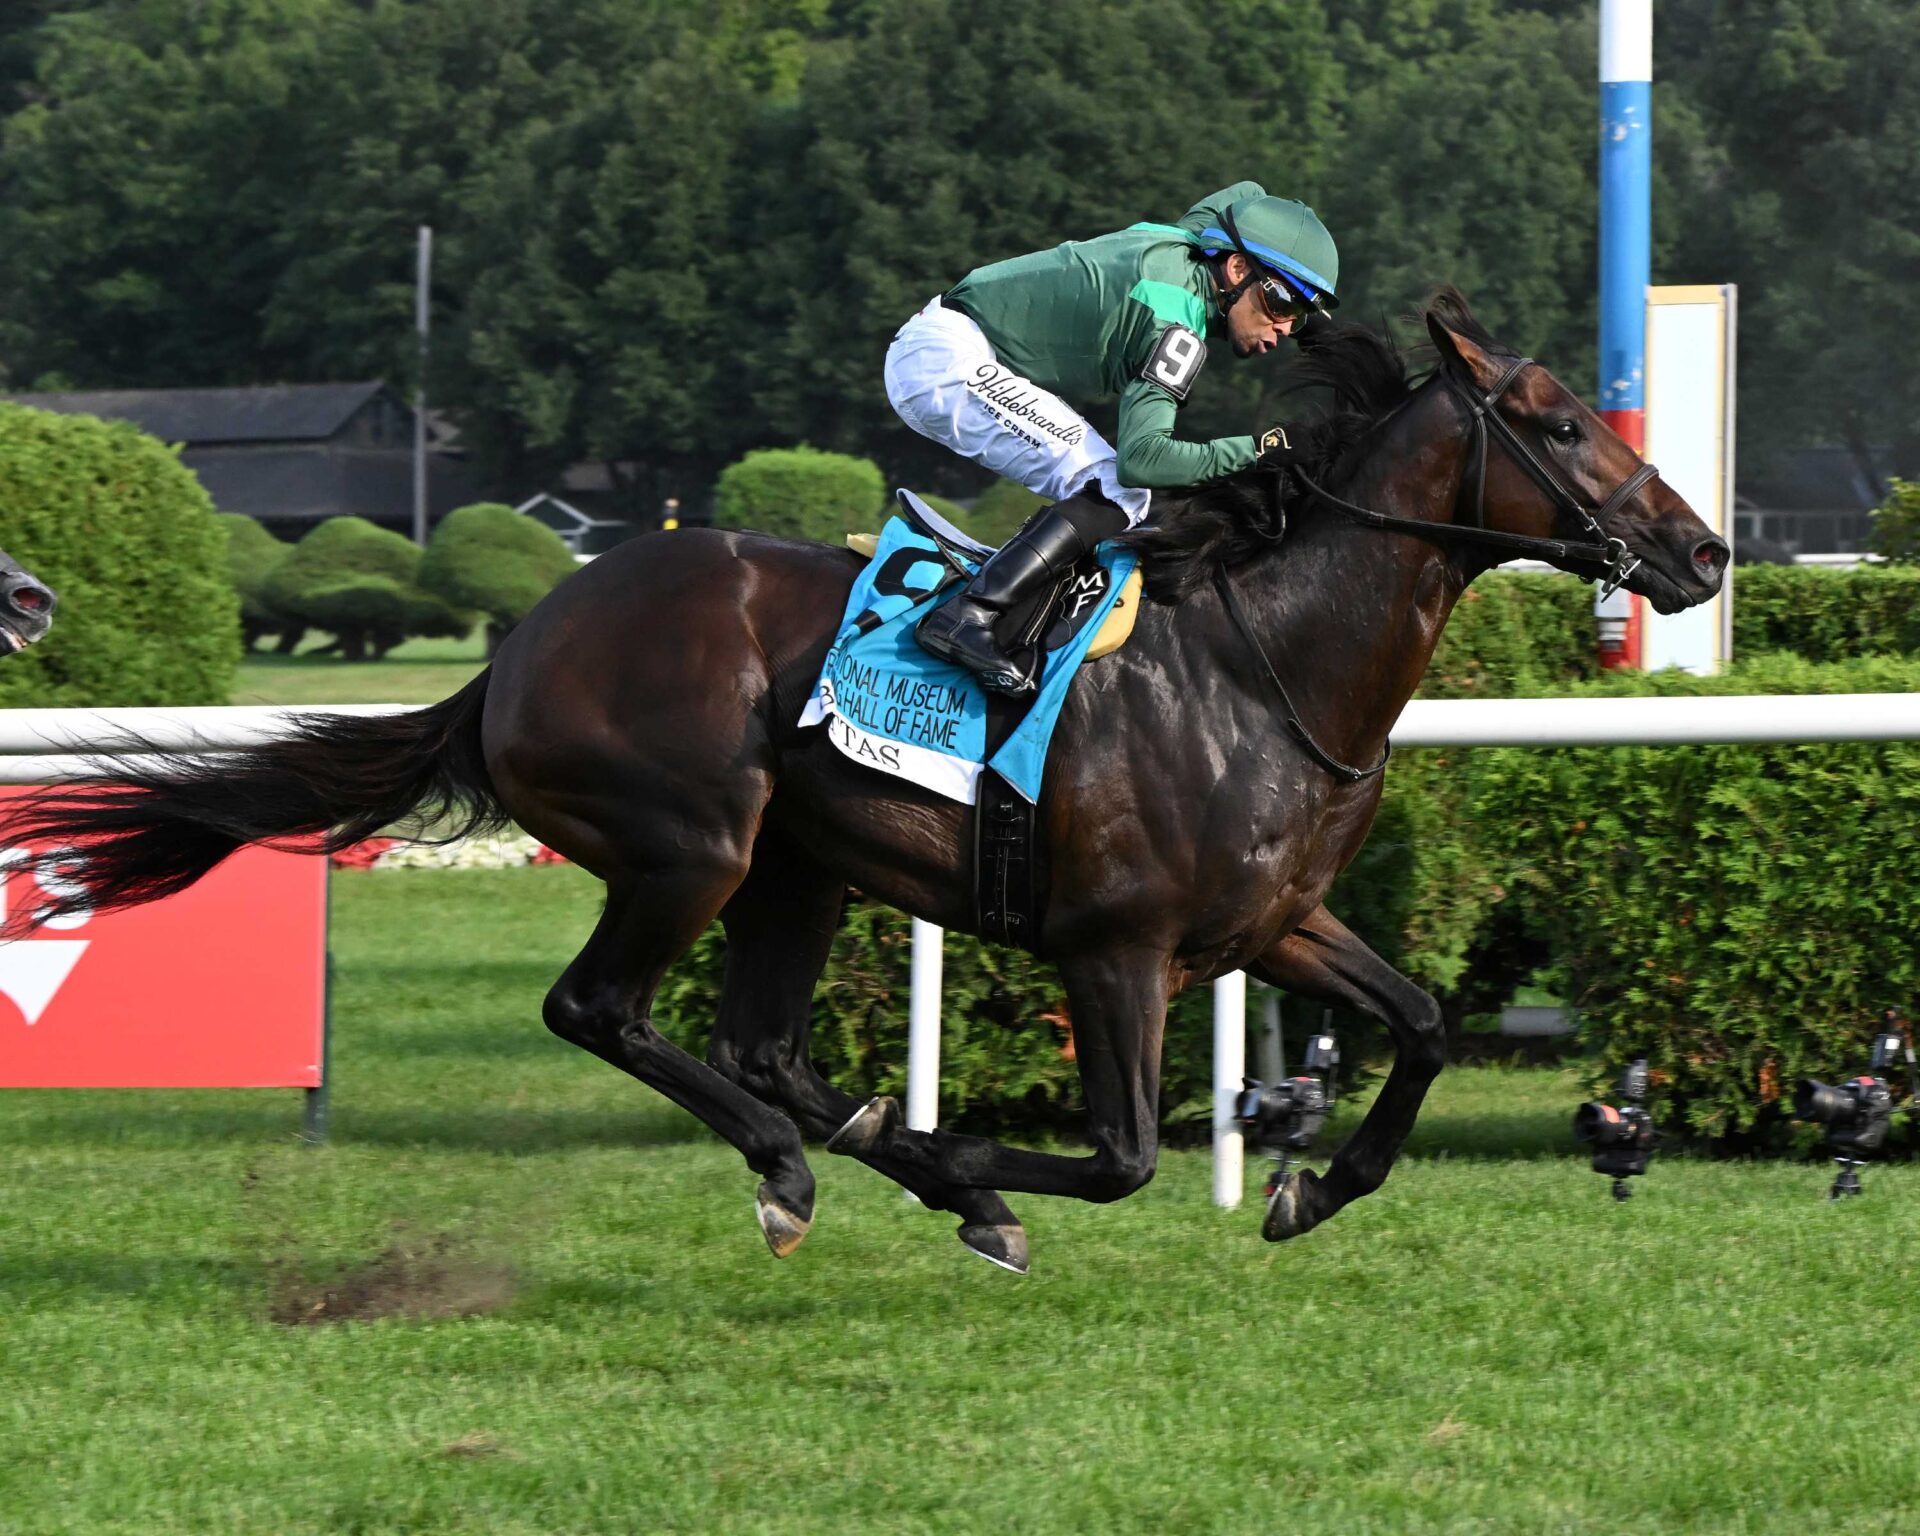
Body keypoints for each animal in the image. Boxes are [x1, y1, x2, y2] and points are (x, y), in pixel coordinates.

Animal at [0, 291, 1725, 1273]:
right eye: (1558, 419)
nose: (1701, 553)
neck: (1264, 666)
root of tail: (527, 639)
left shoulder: (1273, 925)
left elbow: (1422, 1022)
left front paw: (1308, 1189)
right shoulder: (1115, 947)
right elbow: (1124, 1158)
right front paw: (981, 1165)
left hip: (800, 869)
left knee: (760, 1047)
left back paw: (884, 1165)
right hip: (691, 847)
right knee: (604, 1013)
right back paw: (809, 1172)